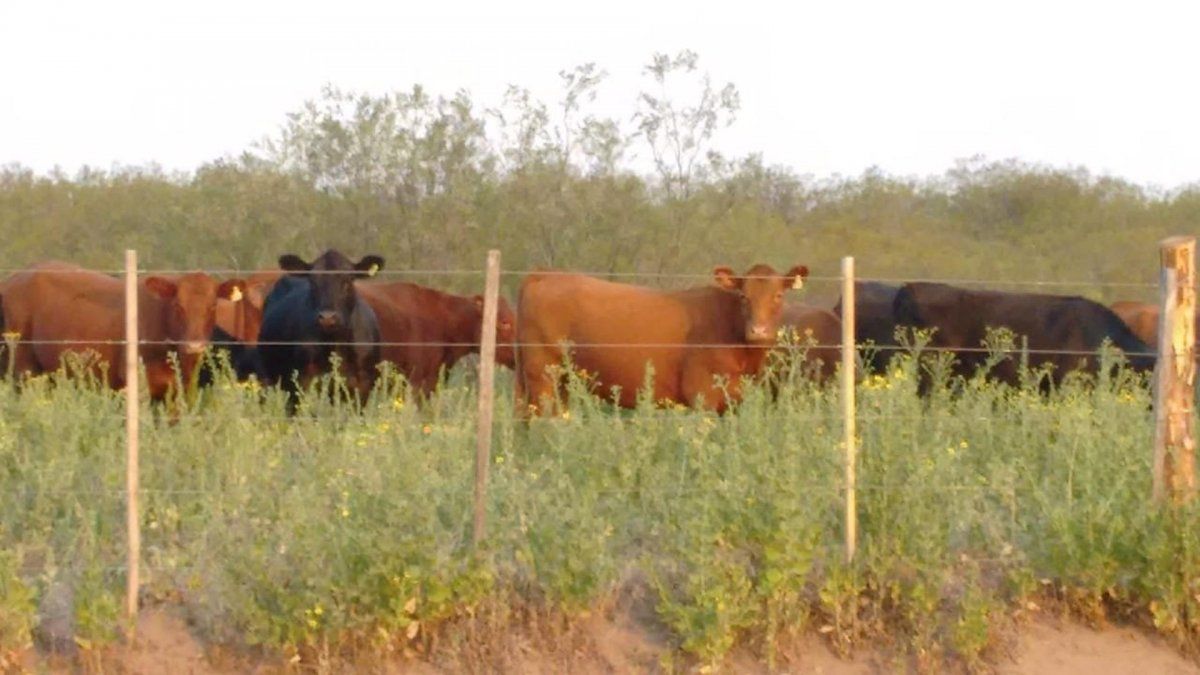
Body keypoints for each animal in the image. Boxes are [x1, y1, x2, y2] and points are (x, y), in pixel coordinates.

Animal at [258, 247, 384, 403]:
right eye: (313, 282)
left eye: (348, 281)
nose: (327, 317)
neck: (335, 345)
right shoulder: (304, 382)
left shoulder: (363, 386)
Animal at [513, 261, 806, 410]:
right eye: (744, 296)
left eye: (778, 296)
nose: (758, 331)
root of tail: (544, 275)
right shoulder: (703, 395)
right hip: (543, 376)